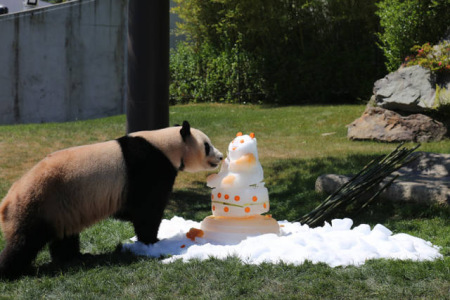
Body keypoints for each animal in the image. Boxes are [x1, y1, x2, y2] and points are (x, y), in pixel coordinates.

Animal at [0, 120, 222, 278]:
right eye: (207, 146)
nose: (220, 157)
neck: (165, 144)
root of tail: (7, 200)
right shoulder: (147, 167)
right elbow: (146, 209)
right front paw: (153, 241)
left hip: (63, 206)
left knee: (64, 236)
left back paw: (76, 257)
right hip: (42, 201)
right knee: (25, 241)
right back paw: (11, 271)